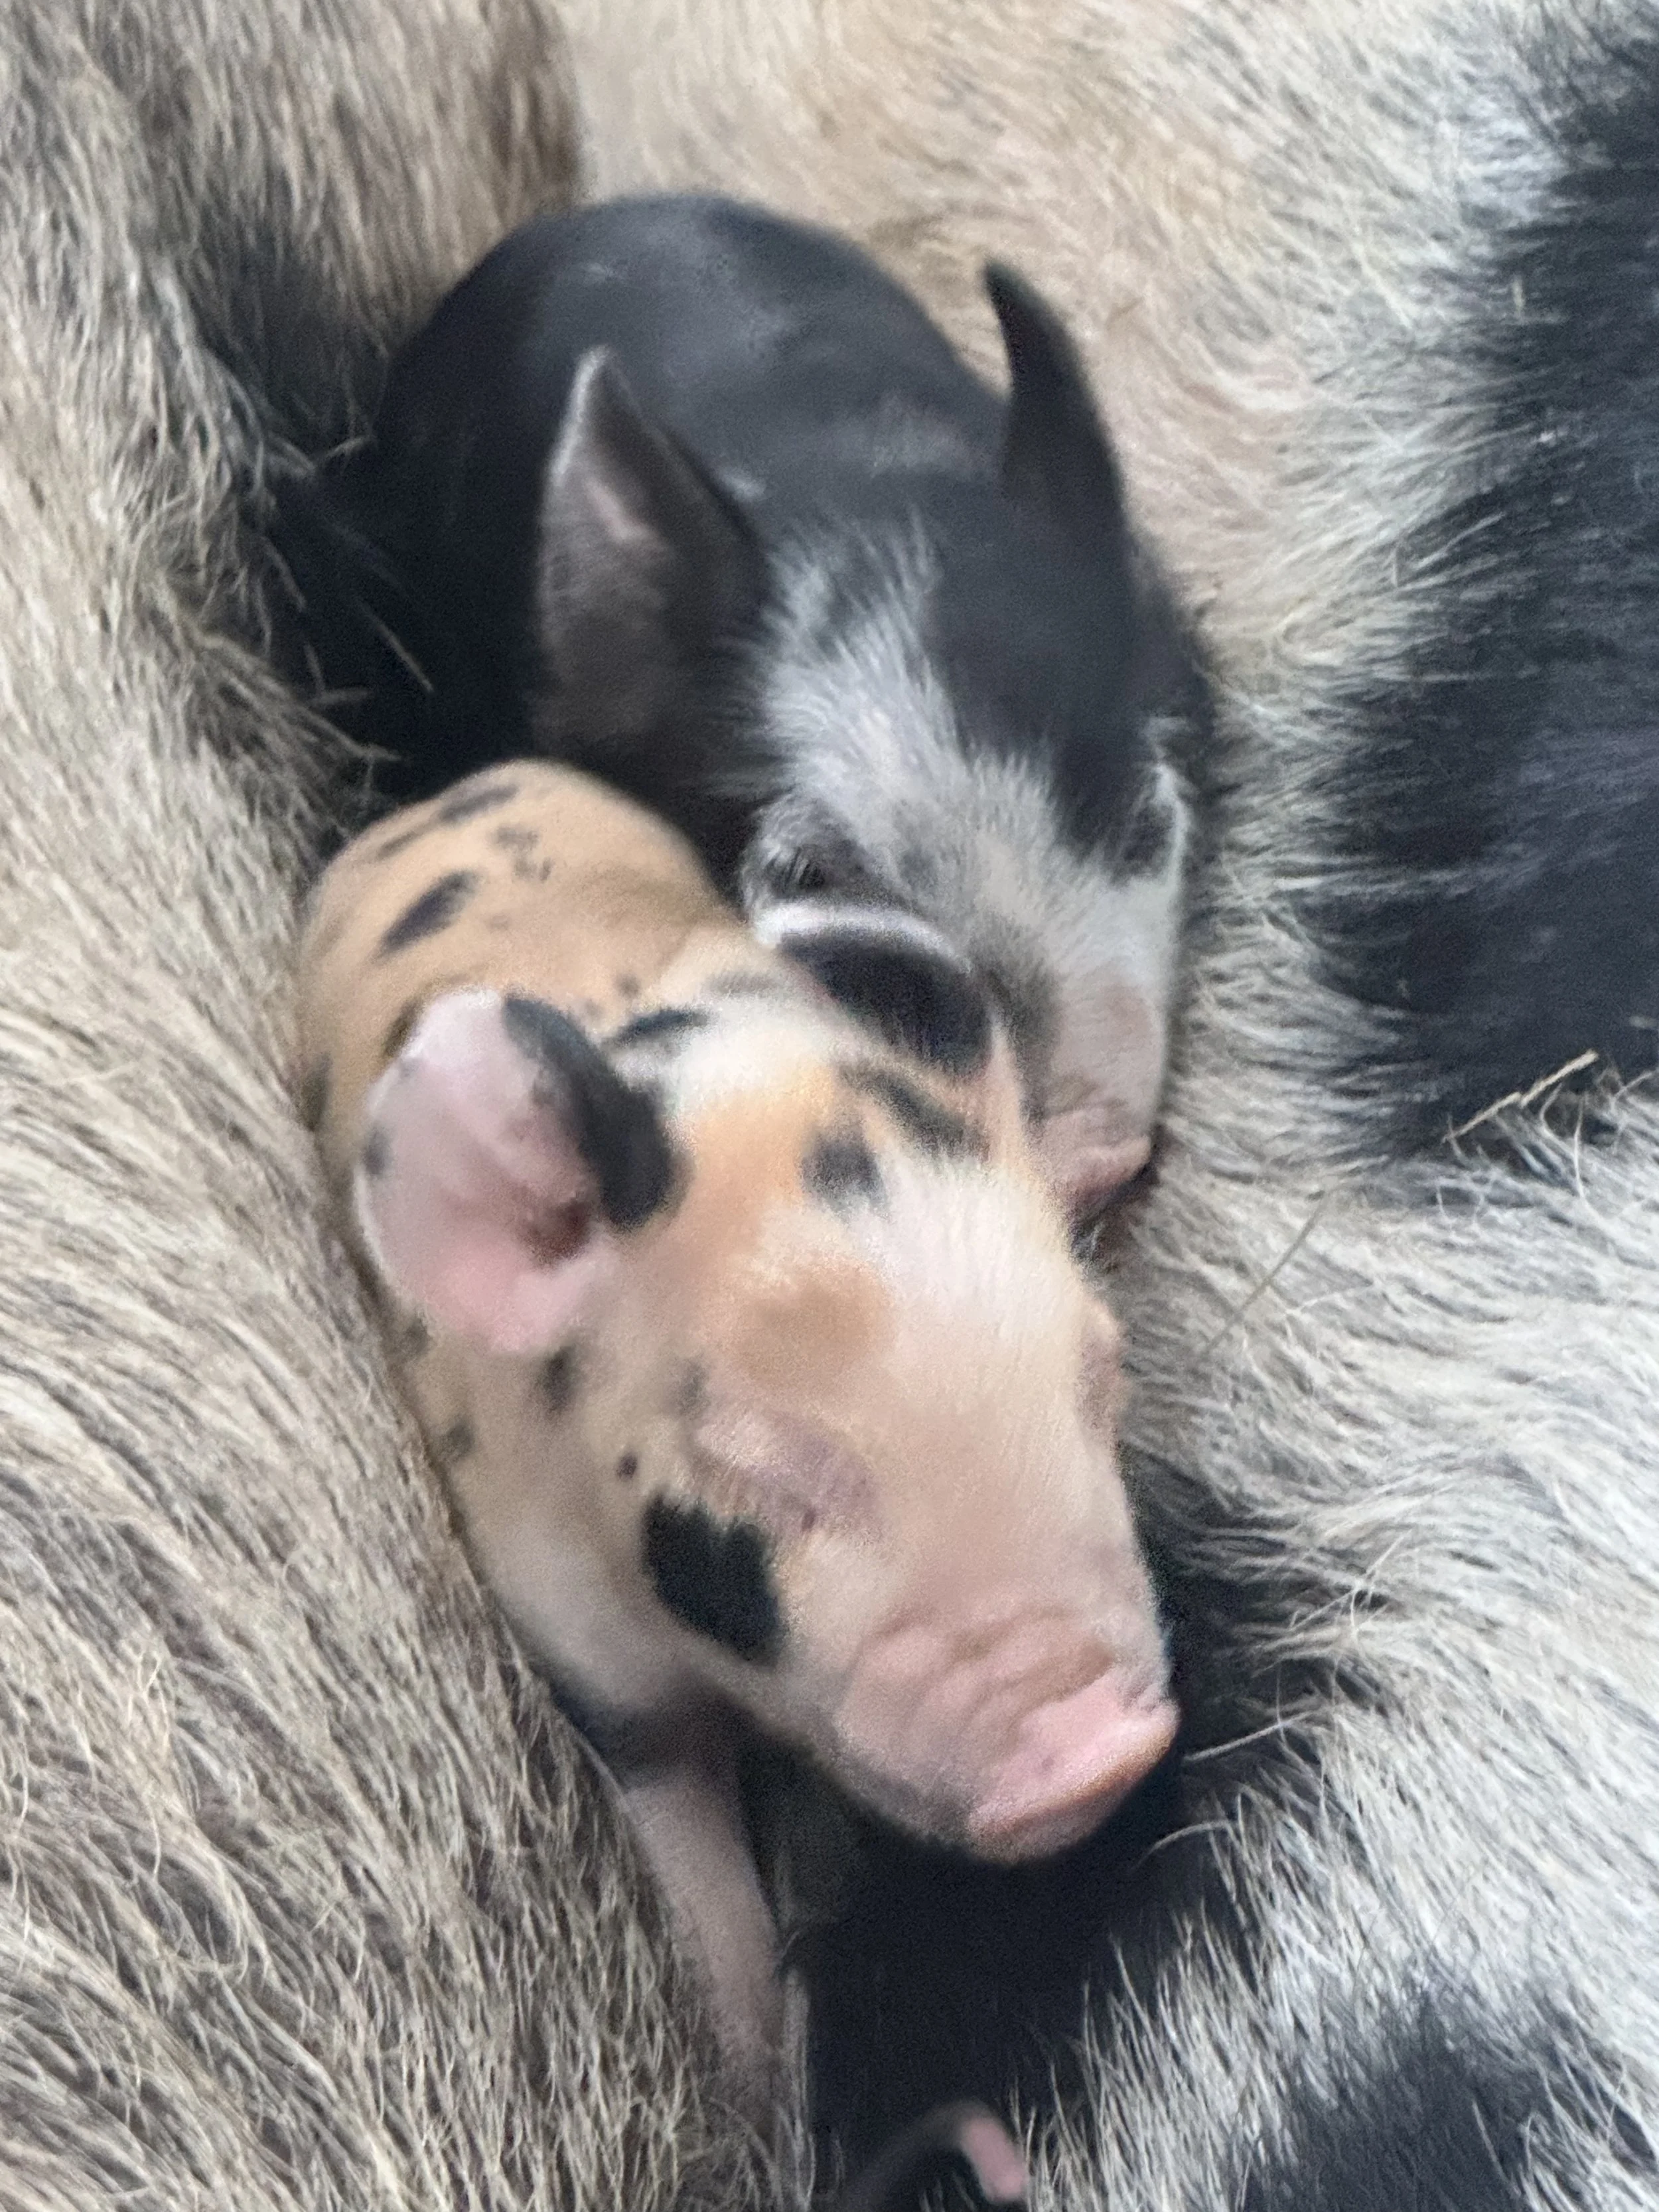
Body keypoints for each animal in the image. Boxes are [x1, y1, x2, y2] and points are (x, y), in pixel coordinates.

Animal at [294, 756, 1177, 2091]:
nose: (1100, 1740)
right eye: (765, 1469)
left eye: (1099, 1375)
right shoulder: (568, 1627)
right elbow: (684, 1851)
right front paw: (749, 2070)